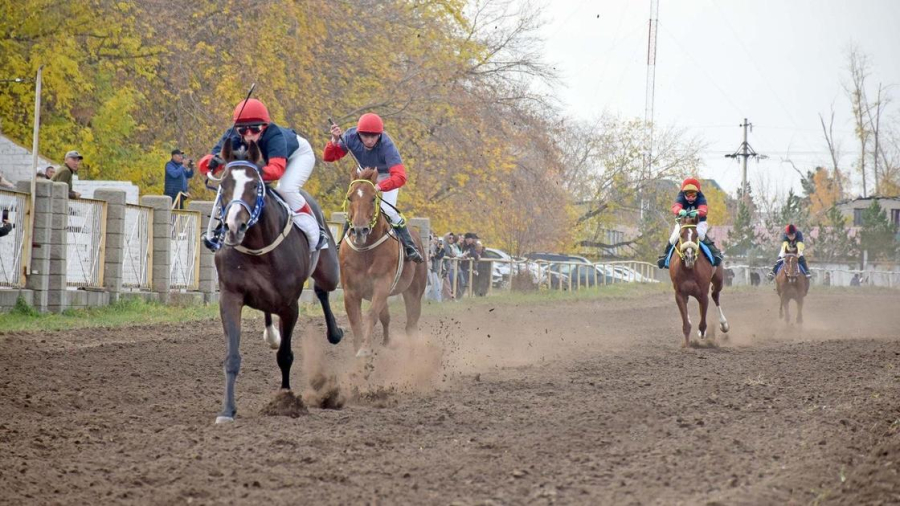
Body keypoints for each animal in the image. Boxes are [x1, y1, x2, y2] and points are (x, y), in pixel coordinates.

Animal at [342, 168, 430, 358]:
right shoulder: (350, 290)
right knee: (387, 317)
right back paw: (387, 343)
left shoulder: (382, 283)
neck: (365, 251)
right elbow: (355, 320)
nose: (359, 231)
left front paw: (365, 349)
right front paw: (358, 348)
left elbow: (371, 314)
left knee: (411, 324)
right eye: (350, 197)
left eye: (373, 198)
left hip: (414, 291)